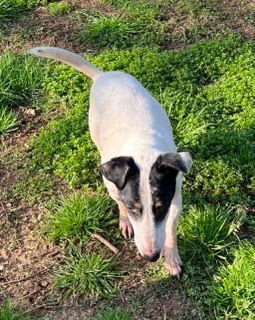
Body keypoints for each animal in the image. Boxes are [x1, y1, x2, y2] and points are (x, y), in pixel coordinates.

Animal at [29, 47, 192, 276]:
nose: (150, 257)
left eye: (161, 207)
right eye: (133, 207)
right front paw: (125, 220)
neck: (143, 148)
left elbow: (170, 228)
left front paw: (172, 258)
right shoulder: (113, 185)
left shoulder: (175, 196)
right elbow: (119, 202)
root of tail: (103, 75)